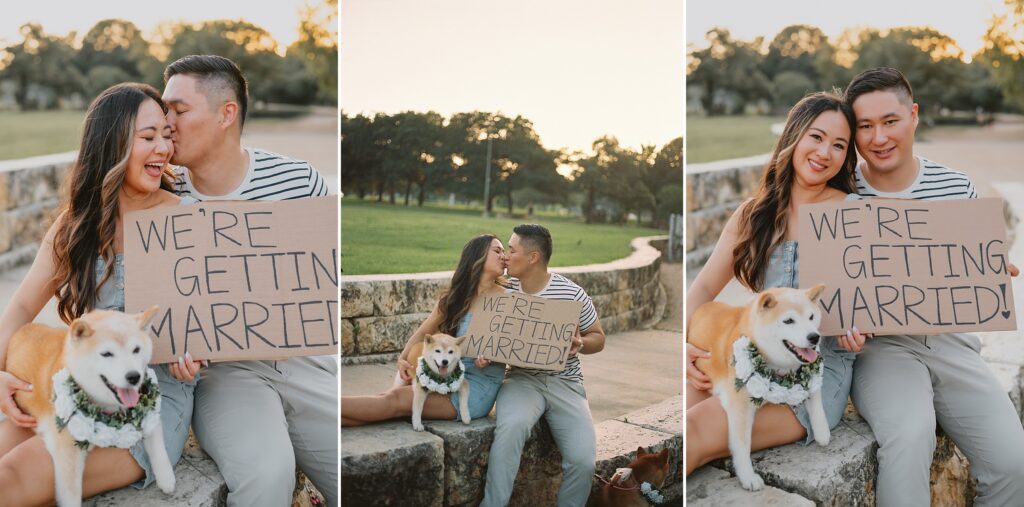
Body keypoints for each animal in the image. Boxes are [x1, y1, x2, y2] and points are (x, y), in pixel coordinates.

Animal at [7, 307, 175, 505]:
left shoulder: (147, 411)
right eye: (107, 354)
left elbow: (157, 444)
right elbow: (70, 495)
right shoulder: (67, 451)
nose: (134, 376)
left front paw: (166, 478)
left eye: (136, 350)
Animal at [688, 284, 823, 489]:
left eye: (811, 317)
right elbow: (742, 445)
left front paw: (823, 431)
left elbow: (815, 397)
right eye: (788, 321)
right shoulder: (739, 407)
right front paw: (748, 477)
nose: (814, 337)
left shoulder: (806, 374)